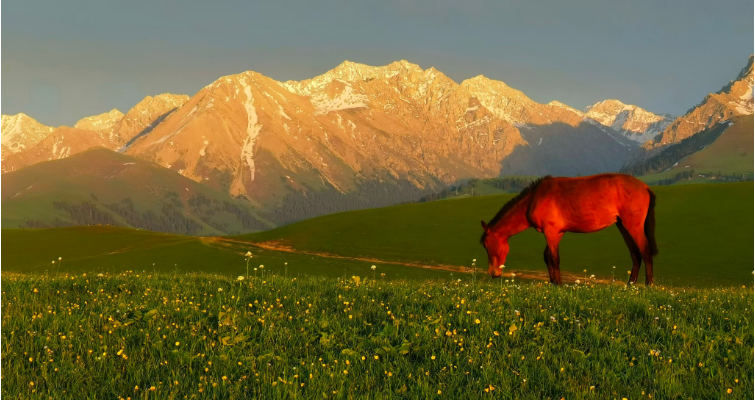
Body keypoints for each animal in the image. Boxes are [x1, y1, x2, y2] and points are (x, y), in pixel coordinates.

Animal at [482, 174, 660, 284]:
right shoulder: (557, 233)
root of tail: (644, 187)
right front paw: (553, 282)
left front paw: (559, 284)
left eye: (486, 245)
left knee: (645, 252)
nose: (493, 273)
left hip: (633, 226)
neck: (534, 199)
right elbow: (547, 256)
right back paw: (630, 285)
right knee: (635, 255)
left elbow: (554, 258)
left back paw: (648, 285)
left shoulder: (551, 232)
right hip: (622, 226)